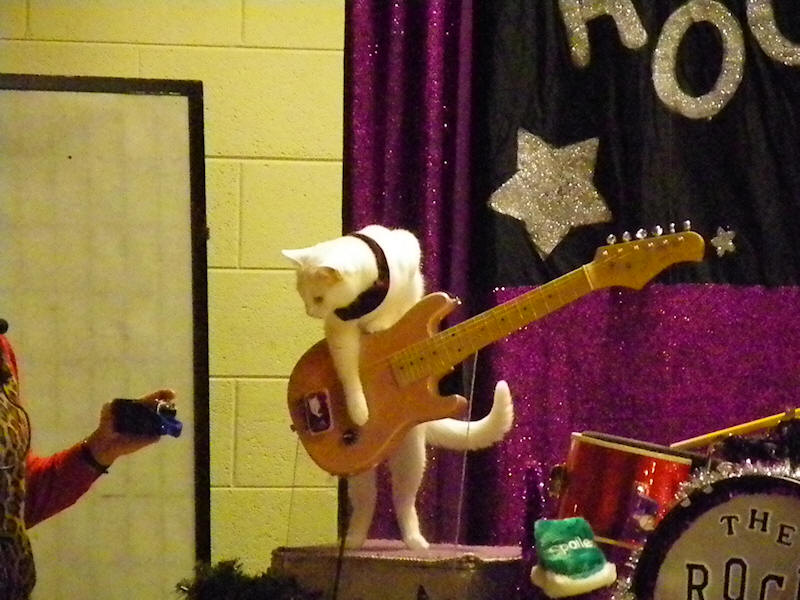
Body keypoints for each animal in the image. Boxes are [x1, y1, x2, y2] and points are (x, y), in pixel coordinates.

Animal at [282, 224, 514, 550]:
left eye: (316, 298)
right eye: (303, 297)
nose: (311, 313)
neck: (367, 295)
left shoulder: (411, 269)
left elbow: (398, 310)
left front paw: (382, 324)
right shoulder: (339, 330)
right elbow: (348, 372)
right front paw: (359, 409)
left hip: (411, 457)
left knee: (404, 500)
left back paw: (415, 541)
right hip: (360, 470)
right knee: (366, 500)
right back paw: (354, 539)